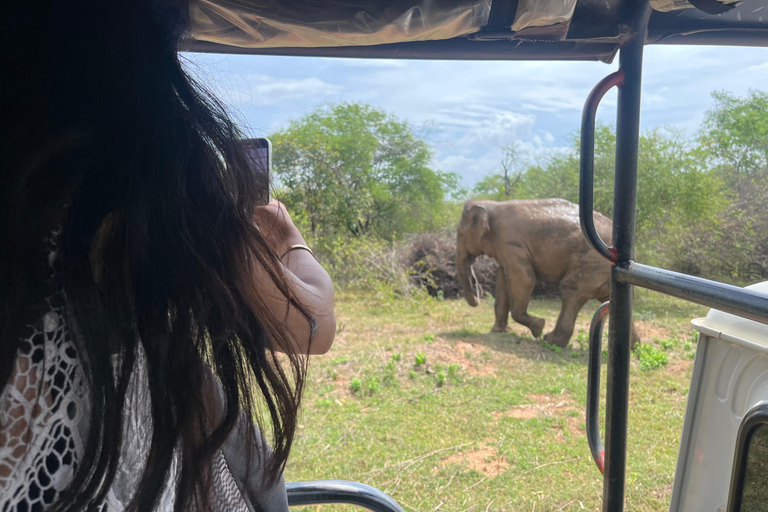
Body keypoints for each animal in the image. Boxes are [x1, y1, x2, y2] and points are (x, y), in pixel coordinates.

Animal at [456, 197, 640, 348]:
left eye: (459, 234)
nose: (477, 301)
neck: (492, 205)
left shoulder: (511, 243)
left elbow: (524, 279)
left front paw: (538, 327)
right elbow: (503, 280)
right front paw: (498, 331)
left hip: (592, 262)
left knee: (571, 289)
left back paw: (550, 340)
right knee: (611, 301)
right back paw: (635, 348)